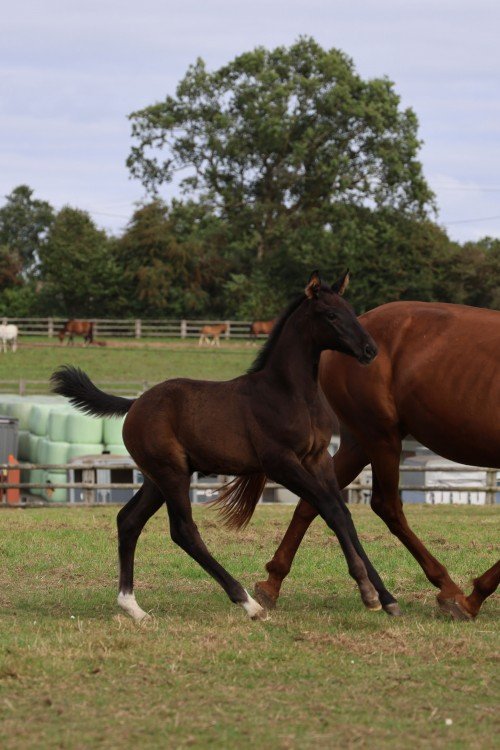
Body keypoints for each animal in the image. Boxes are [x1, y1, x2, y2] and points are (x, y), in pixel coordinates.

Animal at [51, 271, 401, 623]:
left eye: (351, 310)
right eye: (330, 315)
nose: (369, 350)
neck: (290, 393)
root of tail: (135, 403)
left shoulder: (318, 460)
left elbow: (343, 515)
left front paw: (385, 597)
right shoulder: (281, 463)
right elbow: (329, 508)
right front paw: (367, 592)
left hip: (156, 478)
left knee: (129, 520)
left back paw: (133, 607)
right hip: (171, 474)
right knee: (183, 531)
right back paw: (249, 603)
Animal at [255, 301, 500, 621]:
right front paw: (474, 598)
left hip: (359, 445)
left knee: (314, 501)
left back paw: (272, 583)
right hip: (381, 438)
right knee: (387, 506)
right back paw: (446, 587)